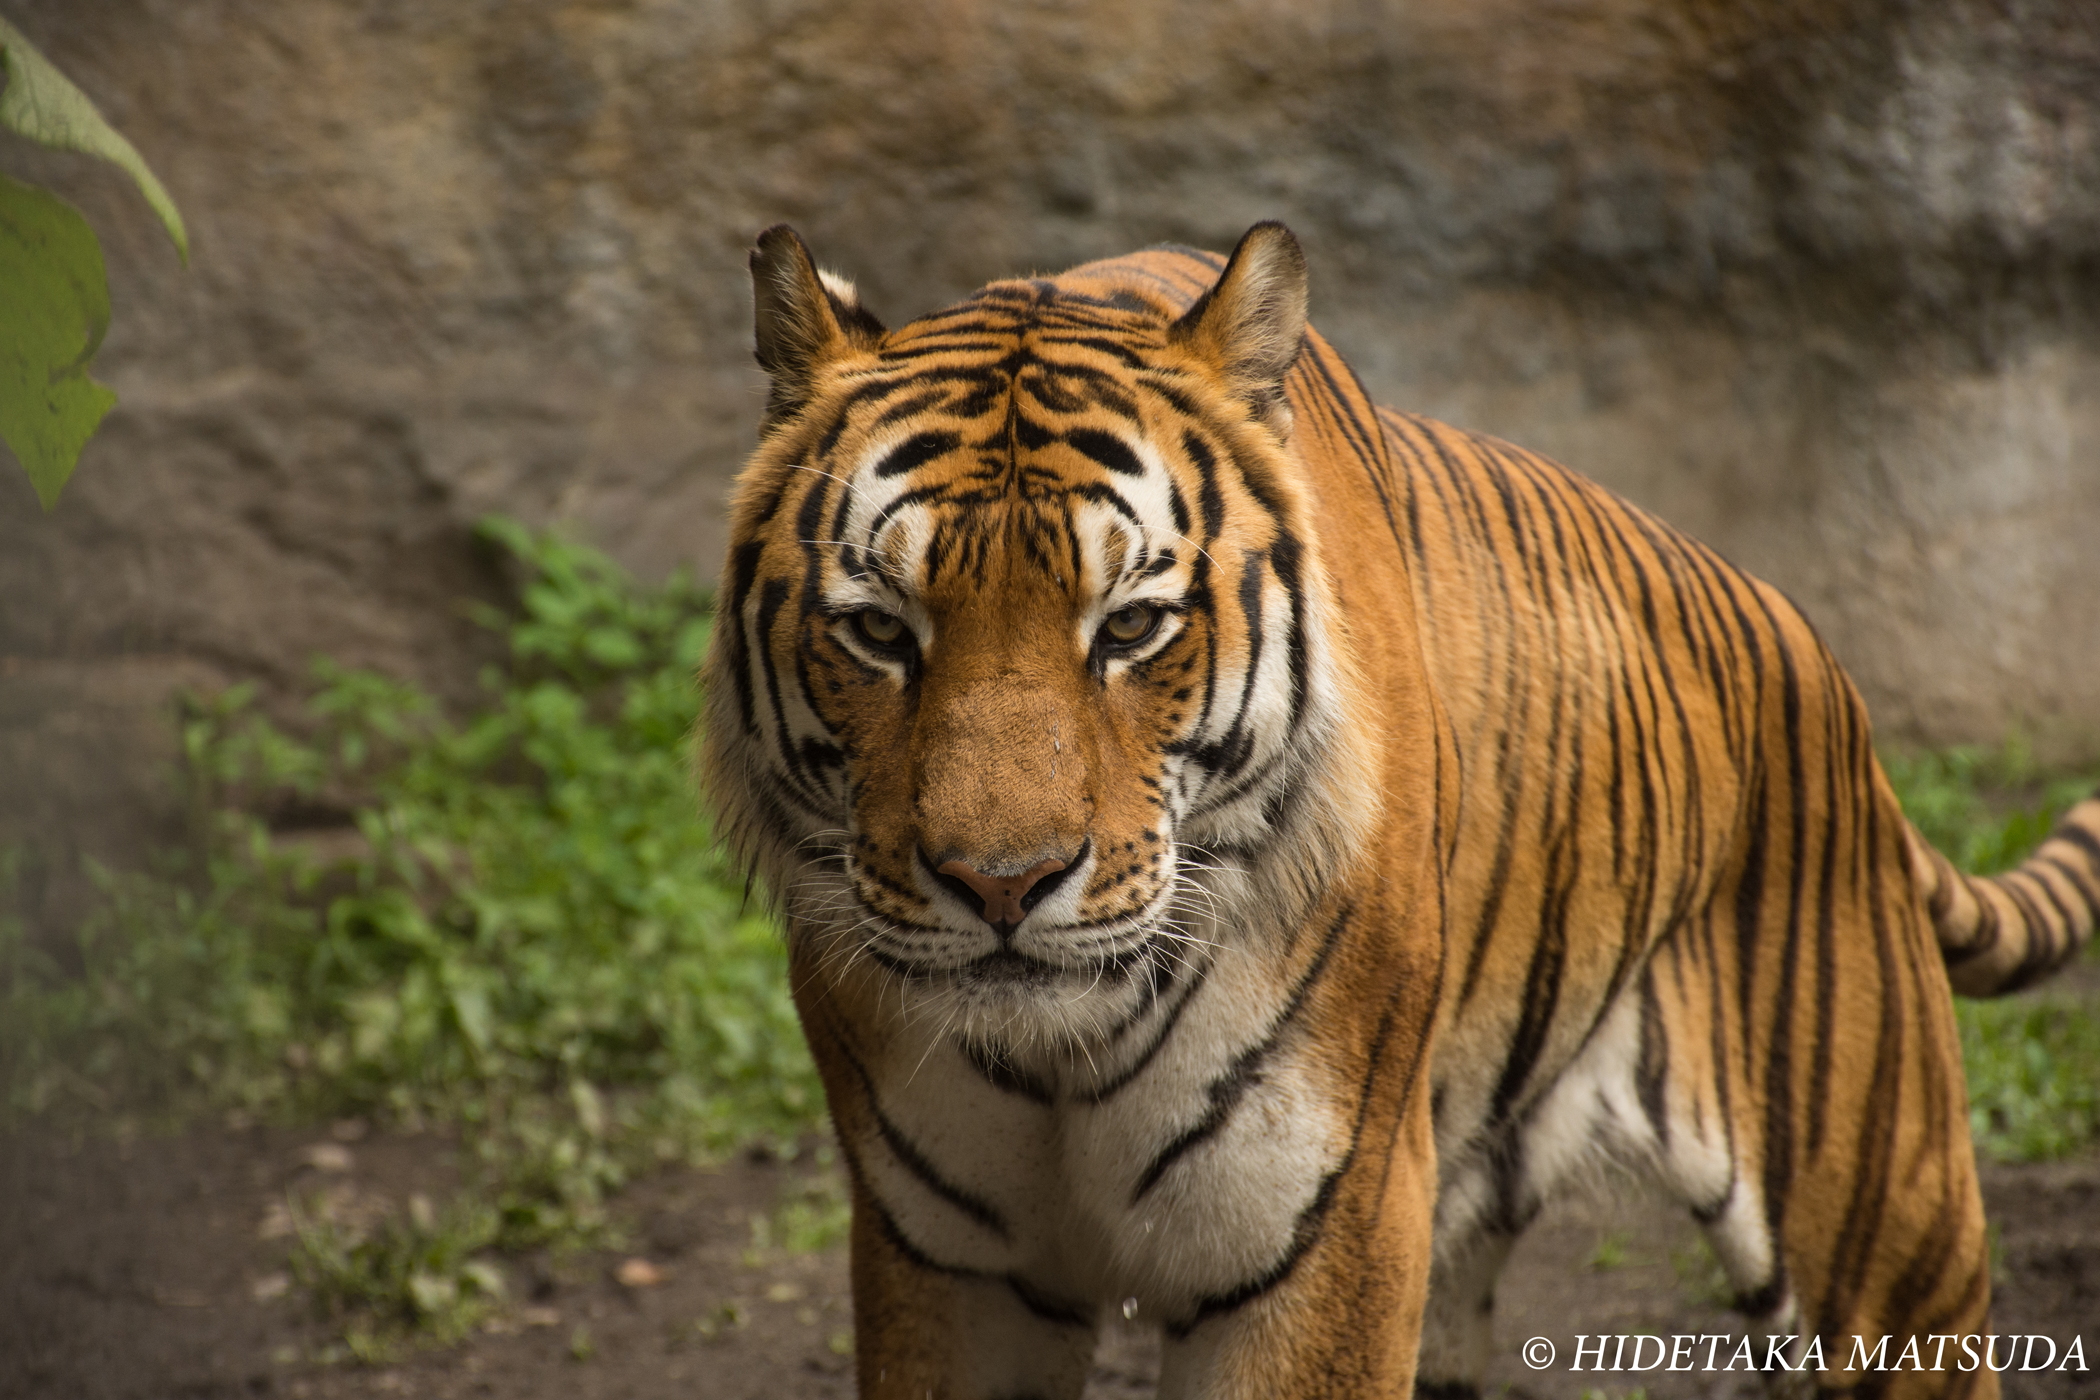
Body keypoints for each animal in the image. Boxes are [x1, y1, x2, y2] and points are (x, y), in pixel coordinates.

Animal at [701, 221, 2100, 1400]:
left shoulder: (1329, 1230)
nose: (1002, 884)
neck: (1061, 1054)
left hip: (1887, 1239)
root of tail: (1803, 637)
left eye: (1133, 627)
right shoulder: (946, 1259)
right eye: (882, 630)